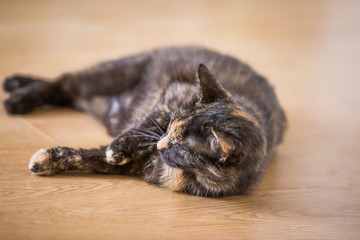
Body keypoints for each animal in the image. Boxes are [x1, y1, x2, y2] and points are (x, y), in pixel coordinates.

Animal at [1, 46, 286, 196]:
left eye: (182, 148)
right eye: (172, 125)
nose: (160, 146)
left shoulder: (137, 167)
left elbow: (88, 157)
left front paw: (46, 161)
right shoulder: (172, 95)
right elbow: (147, 124)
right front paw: (117, 148)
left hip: (95, 98)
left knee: (67, 93)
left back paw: (17, 86)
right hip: (111, 74)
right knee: (63, 82)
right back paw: (16, 95)